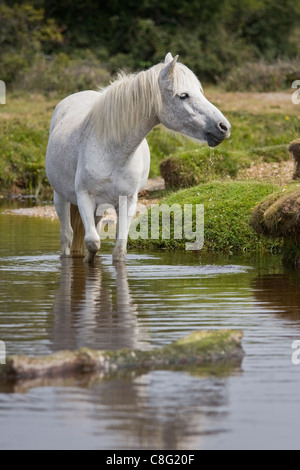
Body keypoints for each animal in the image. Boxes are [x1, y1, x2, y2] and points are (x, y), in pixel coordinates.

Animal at [46, 54, 230, 264]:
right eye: (183, 95)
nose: (224, 127)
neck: (113, 153)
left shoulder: (128, 201)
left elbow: (118, 249)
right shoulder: (84, 197)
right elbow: (93, 242)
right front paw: (87, 262)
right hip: (60, 196)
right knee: (67, 236)